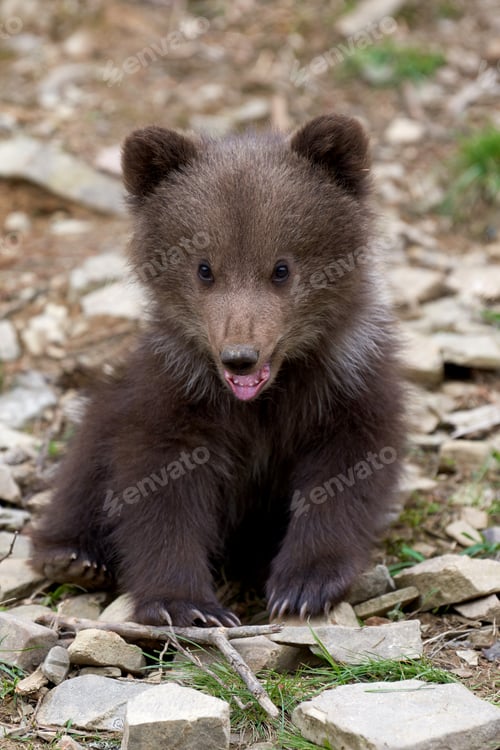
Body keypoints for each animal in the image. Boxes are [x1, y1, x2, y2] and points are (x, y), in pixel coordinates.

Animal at [29, 114, 405, 627]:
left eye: (282, 268)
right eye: (204, 268)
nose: (239, 355)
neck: (266, 398)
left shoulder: (349, 382)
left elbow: (345, 473)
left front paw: (304, 585)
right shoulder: (174, 393)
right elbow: (159, 489)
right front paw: (184, 603)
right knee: (86, 455)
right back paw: (73, 557)